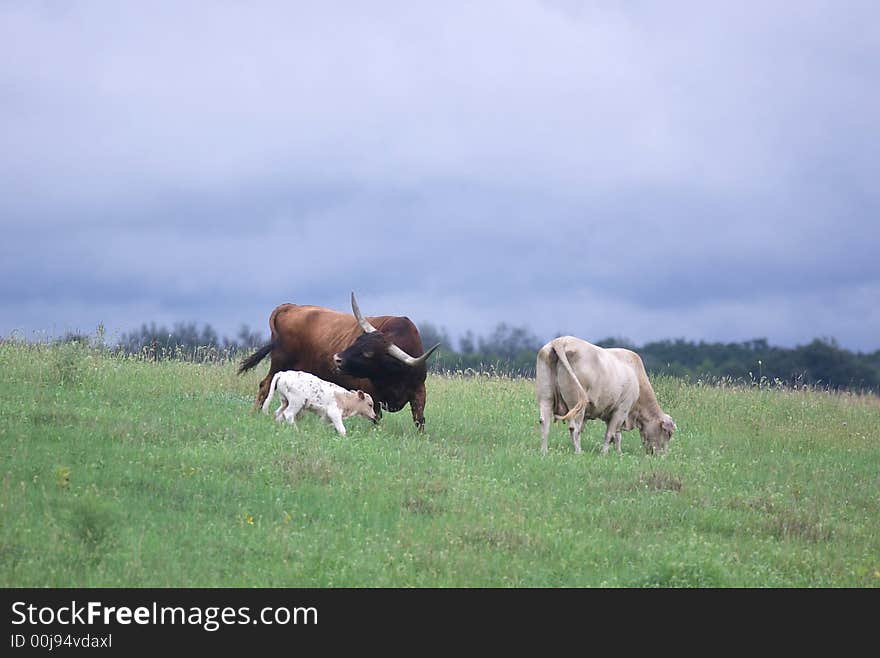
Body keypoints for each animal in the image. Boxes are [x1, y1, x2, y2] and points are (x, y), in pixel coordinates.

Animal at [237, 294, 440, 428]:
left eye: (368, 353)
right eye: (357, 339)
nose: (337, 359)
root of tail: (291, 307)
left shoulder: (419, 391)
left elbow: (419, 420)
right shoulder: (371, 395)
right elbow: (376, 418)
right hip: (280, 363)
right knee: (265, 386)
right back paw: (254, 415)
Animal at [536, 336, 672, 454]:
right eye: (668, 433)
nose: (663, 456)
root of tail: (562, 340)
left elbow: (617, 435)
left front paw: (618, 452)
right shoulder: (622, 409)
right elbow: (610, 434)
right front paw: (604, 453)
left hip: (546, 396)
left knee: (544, 422)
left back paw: (544, 451)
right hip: (576, 403)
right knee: (574, 428)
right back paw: (578, 452)